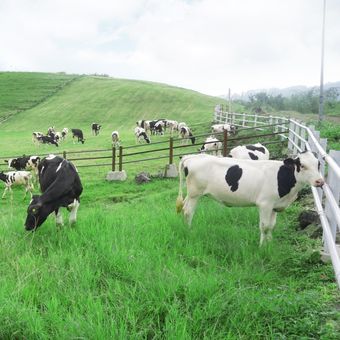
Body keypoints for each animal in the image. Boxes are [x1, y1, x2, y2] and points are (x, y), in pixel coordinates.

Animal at [177, 151, 322, 244]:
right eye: (302, 165)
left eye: (318, 164)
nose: (320, 181)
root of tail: (192, 156)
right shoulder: (265, 204)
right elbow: (264, 226)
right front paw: (262, 246)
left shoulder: (275, 206)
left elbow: (272, 226)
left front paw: (270, 243)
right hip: (195, 193)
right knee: (188, 211)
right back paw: (189, 231)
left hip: (190, 194)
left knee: (184, 208)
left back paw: (184, 228)